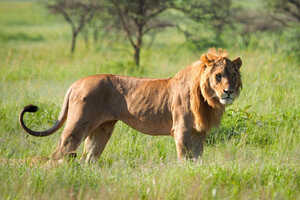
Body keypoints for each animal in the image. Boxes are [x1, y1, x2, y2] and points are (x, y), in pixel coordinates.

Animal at [18, 48, 243, 162]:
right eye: (218, 76)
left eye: (233, 75)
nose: (228, 91)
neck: (208, 99)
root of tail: (77, 82)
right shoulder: (182, 131)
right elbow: (184, 160)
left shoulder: (199, 134)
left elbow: (197, 160)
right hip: (77, 125)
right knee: (58, 154)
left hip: (102, 129)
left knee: (88, 158)